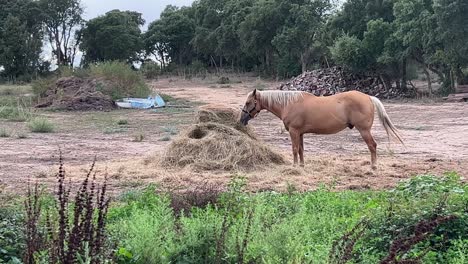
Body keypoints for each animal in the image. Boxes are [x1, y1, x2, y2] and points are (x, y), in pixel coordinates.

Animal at [239, 89, 404, 169]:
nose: (241, 120)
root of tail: (369, 97)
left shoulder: (293, 132)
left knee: (372, 146)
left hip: (364, 130)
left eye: (248, 102)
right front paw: (302, 166)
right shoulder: (300, 133)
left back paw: (373, 166)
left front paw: (294, 166)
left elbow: (294, 149)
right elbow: (301, 150)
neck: (289, 103)